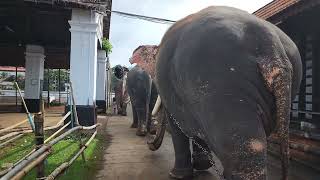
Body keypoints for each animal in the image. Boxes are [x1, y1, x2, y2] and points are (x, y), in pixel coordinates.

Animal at [130, 6, 302, 180]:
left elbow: (178, 127)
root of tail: (271, 42)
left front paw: (176, 175)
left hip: (223, 83)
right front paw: (202, 166)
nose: (149, 143)